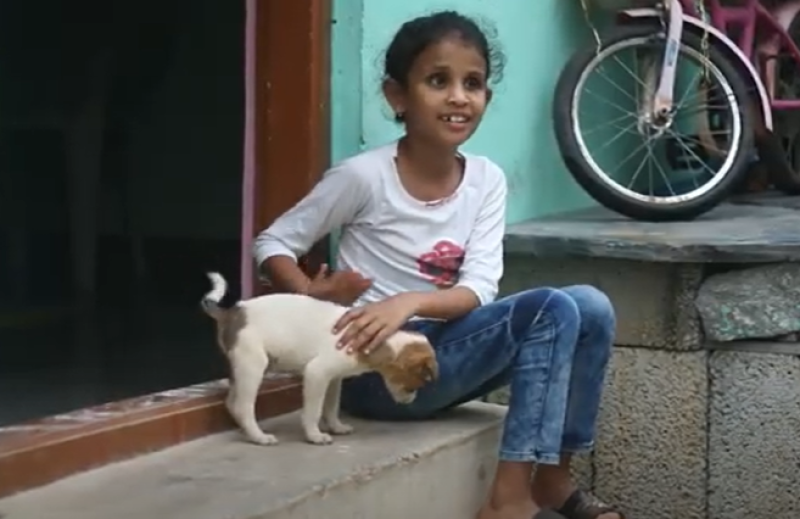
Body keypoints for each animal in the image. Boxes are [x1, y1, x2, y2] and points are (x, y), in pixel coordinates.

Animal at [201, 272, 439, 446]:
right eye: (413, 386)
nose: (409, 402)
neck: (381, 342)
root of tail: (231, 312)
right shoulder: (316, 373)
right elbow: (314, 411)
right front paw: (315, 435)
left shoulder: (333, 379)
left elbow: (331, 407)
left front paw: (336, 426)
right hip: (253, 364)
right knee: (243, 405)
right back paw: (259, 436)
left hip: (247, 365)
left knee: (232, 402)